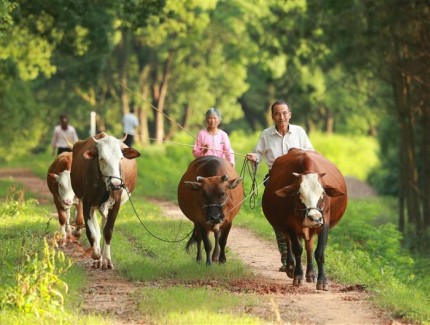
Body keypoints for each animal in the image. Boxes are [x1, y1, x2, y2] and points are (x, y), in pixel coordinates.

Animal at [260, 148, 348, 290]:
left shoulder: (324, 223)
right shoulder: (290, 225)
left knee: (309, 247)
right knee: (288, 242)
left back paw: (311, 274)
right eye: (298, 193)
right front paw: (298, 276)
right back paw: (290, 267)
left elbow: (319, 252)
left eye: (323, 193)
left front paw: (322, 280)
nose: (315, 218)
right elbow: (297, 249)